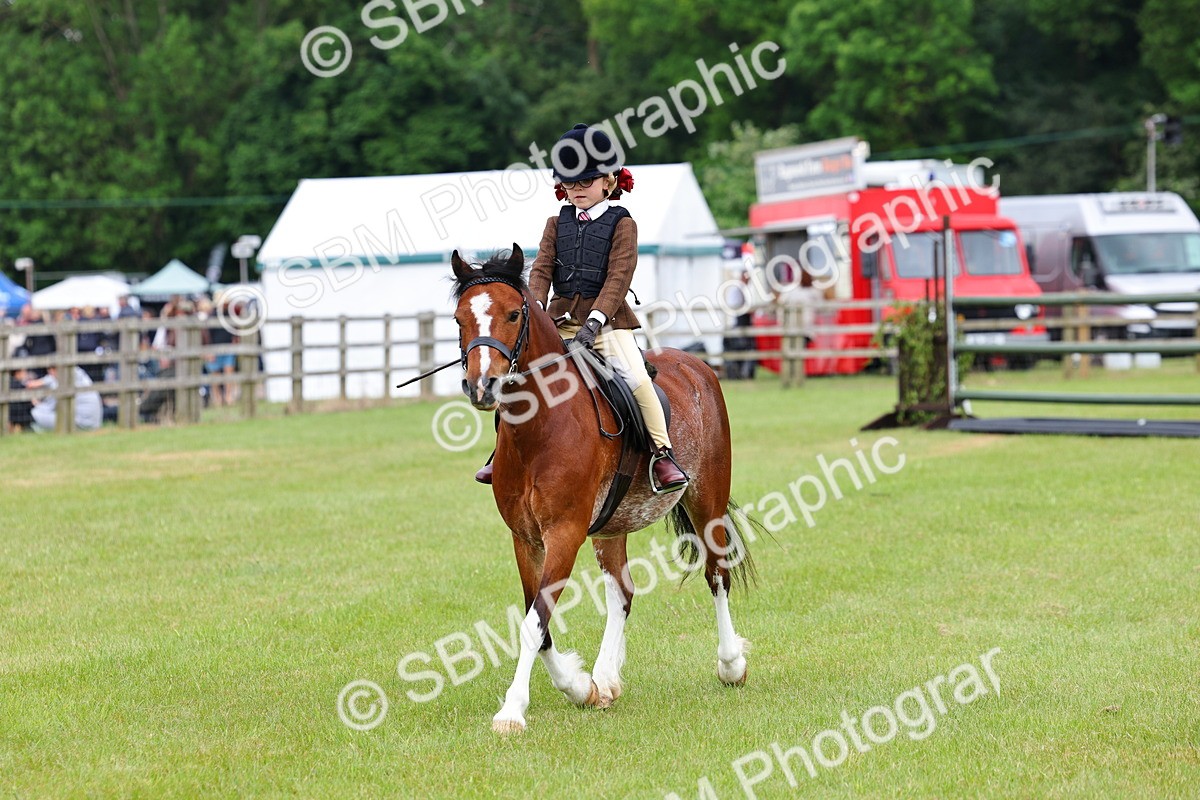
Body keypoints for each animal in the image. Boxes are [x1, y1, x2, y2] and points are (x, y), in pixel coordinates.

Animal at [451, 245, 755, 733]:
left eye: (514, 314)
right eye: (460, 318)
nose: (482, 387)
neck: (539, 426)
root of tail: (697, 365)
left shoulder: (565, 532)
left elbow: (535, 623)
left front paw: (513, 710)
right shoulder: (525, 538)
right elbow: (539, 622)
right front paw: (582, 687)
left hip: (706, 498)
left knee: (716, 574)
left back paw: (731, 665)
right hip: (613, 524)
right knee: (622, 593)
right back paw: (606, 678)